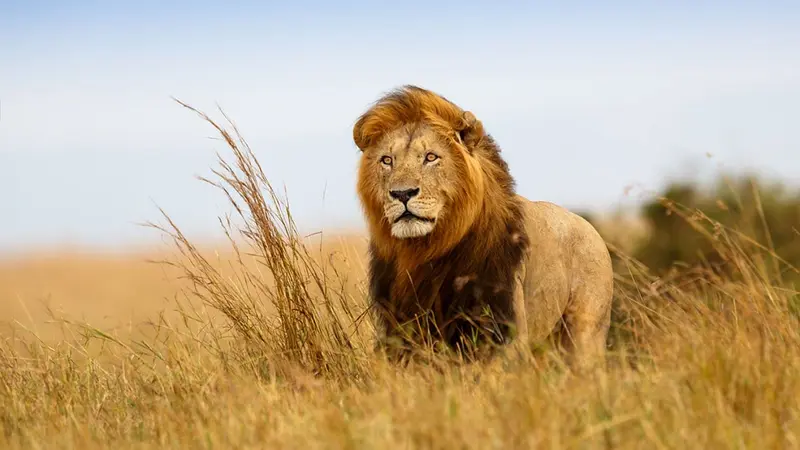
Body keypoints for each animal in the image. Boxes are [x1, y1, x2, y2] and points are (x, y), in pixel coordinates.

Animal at [352, 85, 614, 371]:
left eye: (430, 157)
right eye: (387, 160)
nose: (402, 193)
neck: (424, 250)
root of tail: (591, 228)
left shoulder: (502, 328)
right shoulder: (399, 328)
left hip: (584, 333)